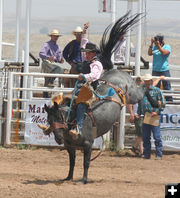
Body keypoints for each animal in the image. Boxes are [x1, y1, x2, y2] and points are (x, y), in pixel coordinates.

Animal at [43, 12, 146, 184]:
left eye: (59, 117)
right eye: (49, 119)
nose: (57, 138)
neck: (72, 120)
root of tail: (114, 71)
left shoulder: (88, 144)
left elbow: (85, 163)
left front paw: (83, 179)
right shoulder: (70, 146)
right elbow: (72, 163)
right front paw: (68, 177)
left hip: (132, 94)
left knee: (141, 92)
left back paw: (150, 83)